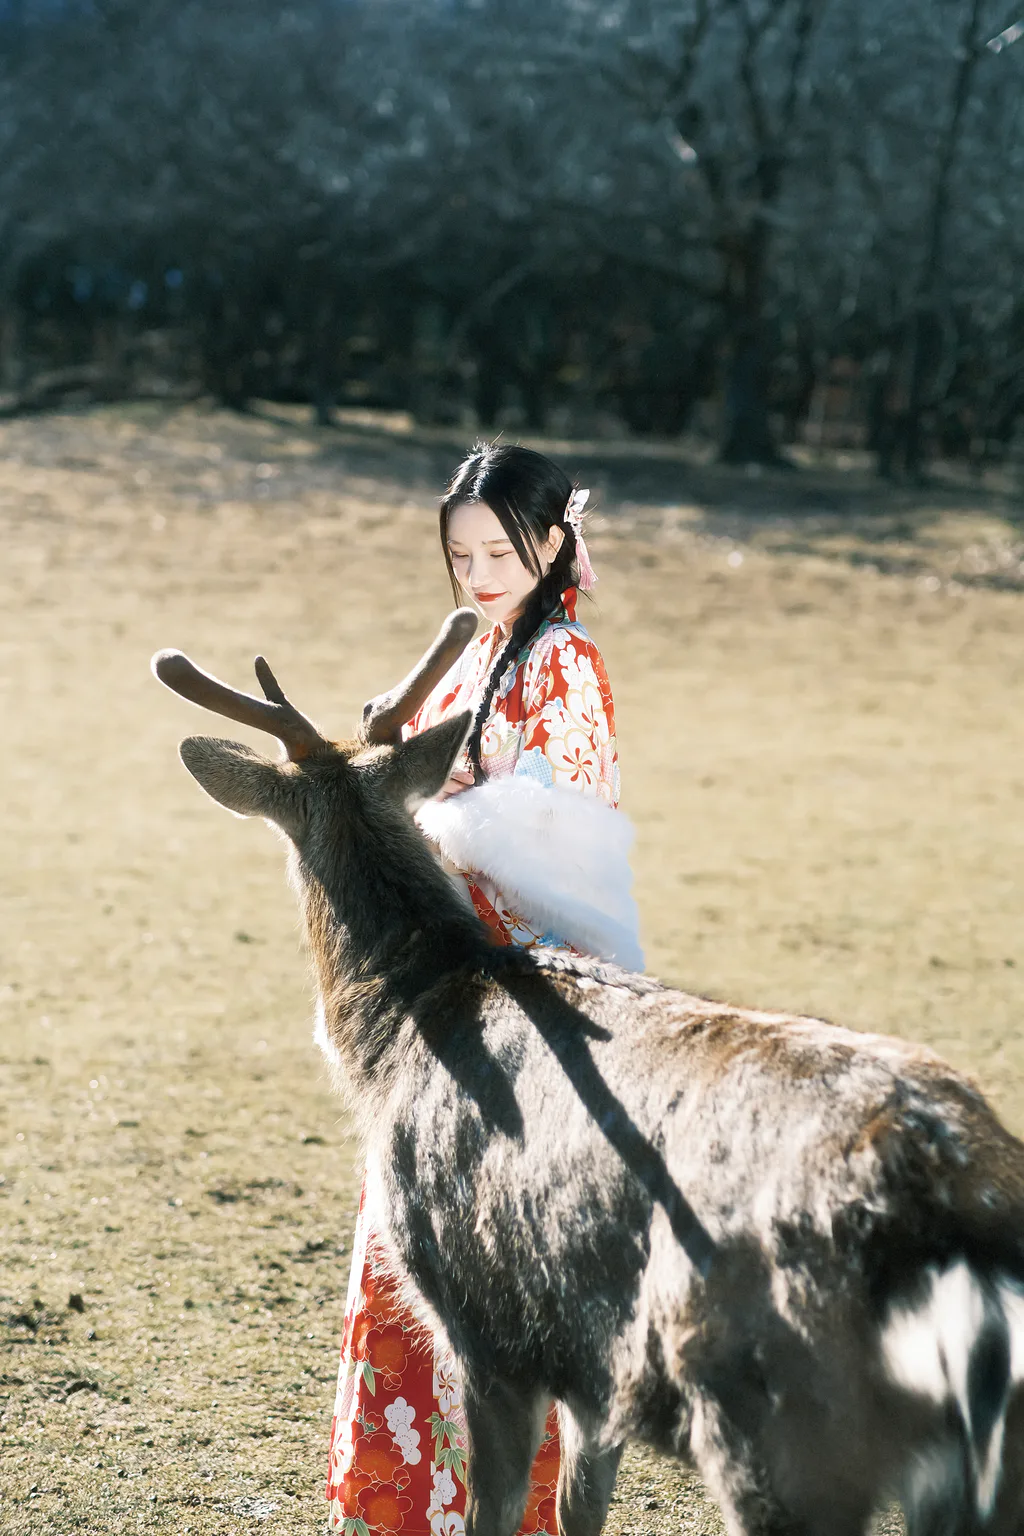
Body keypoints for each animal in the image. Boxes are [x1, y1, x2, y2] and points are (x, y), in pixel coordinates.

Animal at [153, 610, 1024, 1536]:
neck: (399, 1035)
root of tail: (953, 1208)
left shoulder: (486, 1319)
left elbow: (494, 1510)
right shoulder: (594, 1357)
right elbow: (579, 1503)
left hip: (773, 1413)